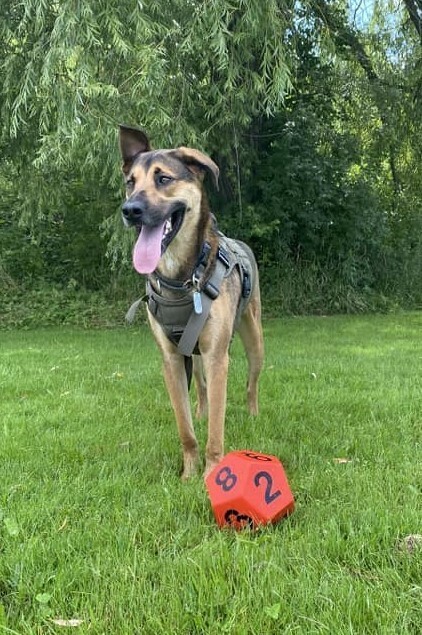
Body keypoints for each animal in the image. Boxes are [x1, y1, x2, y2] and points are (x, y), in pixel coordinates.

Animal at [119, 126, 264, 480]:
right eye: (130, 181)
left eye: (163, 178)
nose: (130, 210)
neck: (182, 278)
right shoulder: (171, 360)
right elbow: (186, 429)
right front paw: (187, 474)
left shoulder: (217, 357)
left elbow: (215, 433)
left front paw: (211, 474)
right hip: (193, 355)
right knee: (199, 388)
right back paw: (200, 410)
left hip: (254, 340)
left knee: (251, 383)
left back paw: (252, 414)